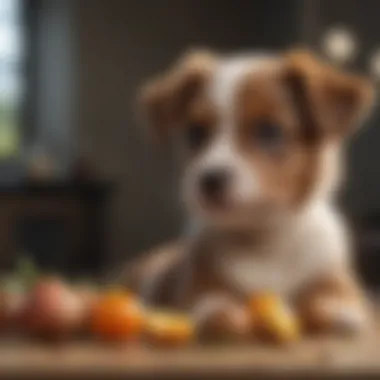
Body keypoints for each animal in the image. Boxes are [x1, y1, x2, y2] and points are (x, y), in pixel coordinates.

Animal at [116, 49, 374, 338]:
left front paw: (333, 312)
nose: (210, 179)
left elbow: (337, 304)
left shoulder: (338, 281)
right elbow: (212, 301)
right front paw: (220, 312)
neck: (262, 241)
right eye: (196, 131)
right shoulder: (196, 286)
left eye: (269, 131)